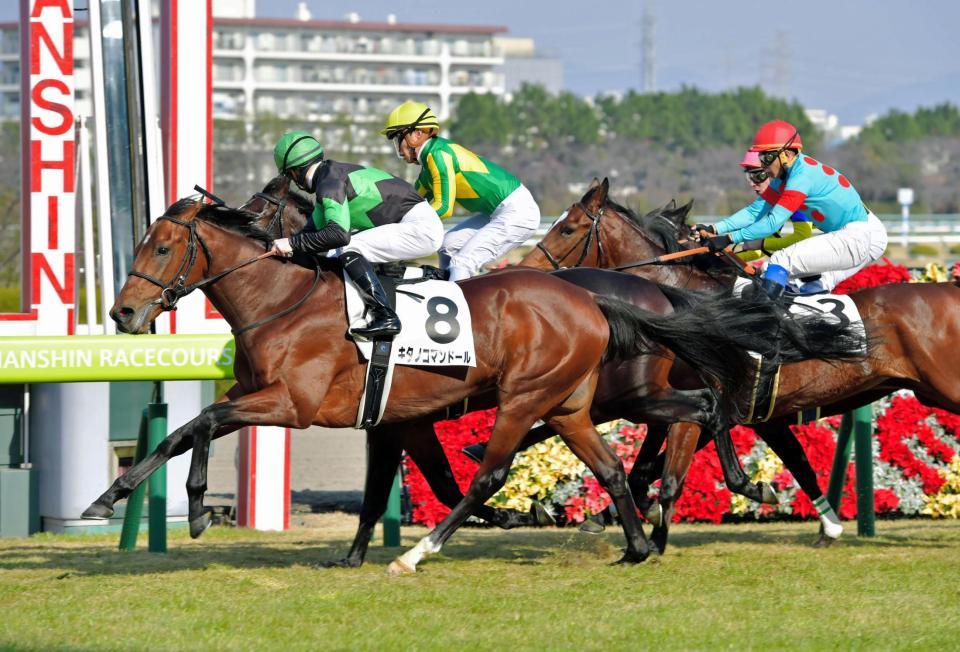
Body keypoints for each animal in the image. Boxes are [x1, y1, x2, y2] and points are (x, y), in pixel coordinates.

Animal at [82, 192, 798, 571]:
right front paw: (118, 498)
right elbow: (182, 432)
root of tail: (594, 300)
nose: (122, 314)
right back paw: (639, 544)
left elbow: (199, 424)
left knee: (498, 470)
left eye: (162, 248)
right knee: (624, 459)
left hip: (531, 396)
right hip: (571, 403)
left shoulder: (290, 403)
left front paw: (188, 505)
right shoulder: (376, 417)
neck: (283, 300)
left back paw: (421, 552)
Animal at [519, 176, 960, 546]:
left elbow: (666, 469)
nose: (524, 270)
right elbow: (649, 465)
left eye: (568, 228)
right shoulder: (707, 407)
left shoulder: (708, 405)